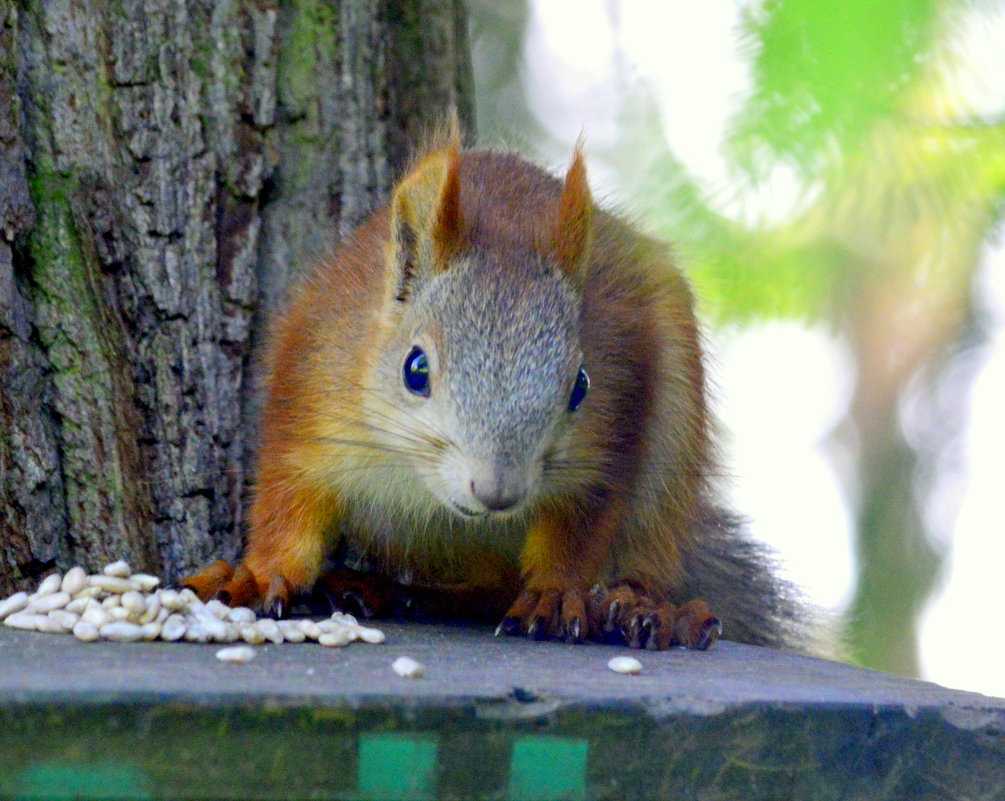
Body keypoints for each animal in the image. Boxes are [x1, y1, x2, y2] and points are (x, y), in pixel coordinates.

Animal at [184, 125, 804, 651]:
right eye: (415, 369)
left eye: (580, 386)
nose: (498, 491)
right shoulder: (312, 390)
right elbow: (287, 505)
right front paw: (256, 574)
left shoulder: (609, 434)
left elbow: (579, 529)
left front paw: (556, 592)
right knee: (486, 585)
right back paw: (393, 590)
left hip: (669, 455)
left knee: (637, 556)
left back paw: (646, 609)